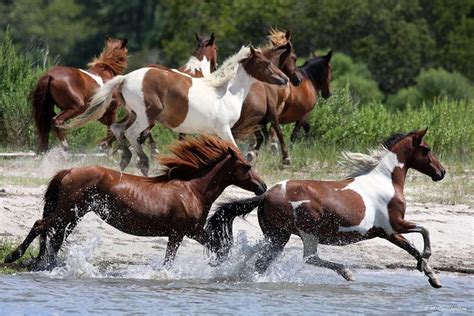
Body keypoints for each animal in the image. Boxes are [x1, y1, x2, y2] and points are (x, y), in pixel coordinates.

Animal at [4, 135, 266, 270]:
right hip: (67, 211)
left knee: (56, 237)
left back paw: (46, 264)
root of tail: (70, 170)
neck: (192, 190)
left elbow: (217, 245)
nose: (263, 186)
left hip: (73, 214)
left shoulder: (193, 231)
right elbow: (170, 260)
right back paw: (15, 257)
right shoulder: (179, 233)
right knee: (40, 225)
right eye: (246, 166)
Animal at [65, 45, 290, 177]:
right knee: (130, 133)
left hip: (133, 114)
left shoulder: (212, 133)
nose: (285, 79)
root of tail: (125, 78)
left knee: (117, 129)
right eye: (266, 63)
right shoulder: (224, 129)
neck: (225, 91)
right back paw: (143, 163)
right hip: (146, 116)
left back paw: (127, 158)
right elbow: (236, 151)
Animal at [207, 129, 444, 288]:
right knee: (309, 257)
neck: (386, 181)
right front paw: (428, 259)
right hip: (307, 231)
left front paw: (432, 276)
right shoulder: (395, 224)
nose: (441, 172)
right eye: (427, 149)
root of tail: (267, 194)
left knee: (259, 257)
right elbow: (424, 231)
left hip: (277, 236)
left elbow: (411, 248)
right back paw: (347, 272)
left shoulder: (387, 232)